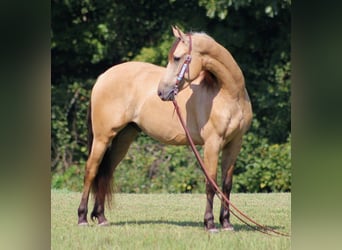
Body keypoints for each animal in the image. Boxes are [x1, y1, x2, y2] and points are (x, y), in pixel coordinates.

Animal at [78, 26, 254, 231]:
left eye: (177, 58)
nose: (161, 92)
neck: (229, 95)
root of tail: (103, 77)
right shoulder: (212, 143)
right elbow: (211, 183)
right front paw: (210, 223)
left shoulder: (234, 144)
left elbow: (226, 184)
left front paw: (226, 223)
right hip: (102, 137)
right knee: (91, 171)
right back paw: (82, 218)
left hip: (122, 139)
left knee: (105, 172)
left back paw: (101, 217)